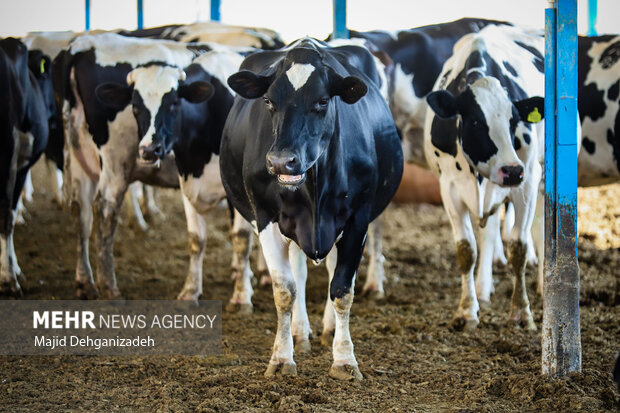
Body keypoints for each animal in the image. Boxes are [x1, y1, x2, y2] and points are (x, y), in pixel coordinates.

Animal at [222, 37, 402, 378]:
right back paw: (300, 331)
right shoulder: (265, 218)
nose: (281, 161)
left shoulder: (357, 220)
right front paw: (282, 358)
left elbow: (342, 289)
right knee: (299, 273)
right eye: (269, 101)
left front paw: (344, 359)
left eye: (322, 101)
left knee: (329, 269)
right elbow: (285, 290)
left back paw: (328, 330)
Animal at [422, 25, 548, 328]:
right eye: (477, 122)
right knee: (489, 233)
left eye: (514, 121)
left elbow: (518, 247)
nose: (511, 170)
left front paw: (521, 312)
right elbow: (466, 250)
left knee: (539, 228)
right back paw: (483, 287)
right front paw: (467, 311)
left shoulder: (527, 182)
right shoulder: (450, 189)